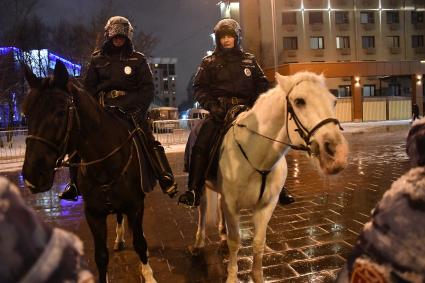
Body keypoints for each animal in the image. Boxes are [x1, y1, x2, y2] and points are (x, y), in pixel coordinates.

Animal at [22, 61, 157, 282]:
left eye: (60, 112)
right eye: (26, 114)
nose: (32, 176)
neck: (106, 165)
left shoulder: (136, 206)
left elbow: (140, 243)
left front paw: (148, 274)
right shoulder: (93, 214)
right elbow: (101, 256)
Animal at [190, 70, 346, 282]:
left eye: (334, 101)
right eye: (299, 101)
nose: (337, 154)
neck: (256, 153)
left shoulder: (266, 205)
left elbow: (258, 242)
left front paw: (257, 276)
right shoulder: (232, 204)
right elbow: (235, 242)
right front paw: (232, 276)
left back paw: (221, 233)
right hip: (203, 190)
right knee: (203, 211)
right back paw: (198, 244)